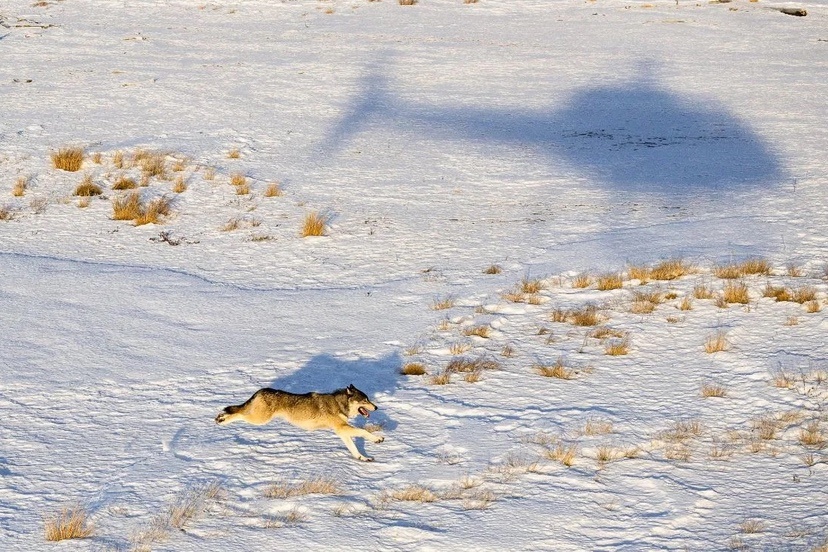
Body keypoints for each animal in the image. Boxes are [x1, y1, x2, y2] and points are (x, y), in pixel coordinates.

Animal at [215, 384, 384, 462]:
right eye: (365, 400)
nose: (376, 407)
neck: (339, 404)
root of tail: (260, 391)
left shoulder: (341, 431)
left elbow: (354, 449)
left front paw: (363, 458)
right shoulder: (342, 427)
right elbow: (363, 431)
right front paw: (378, 439)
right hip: (259, 419)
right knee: (238, 413)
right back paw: (221, 419)